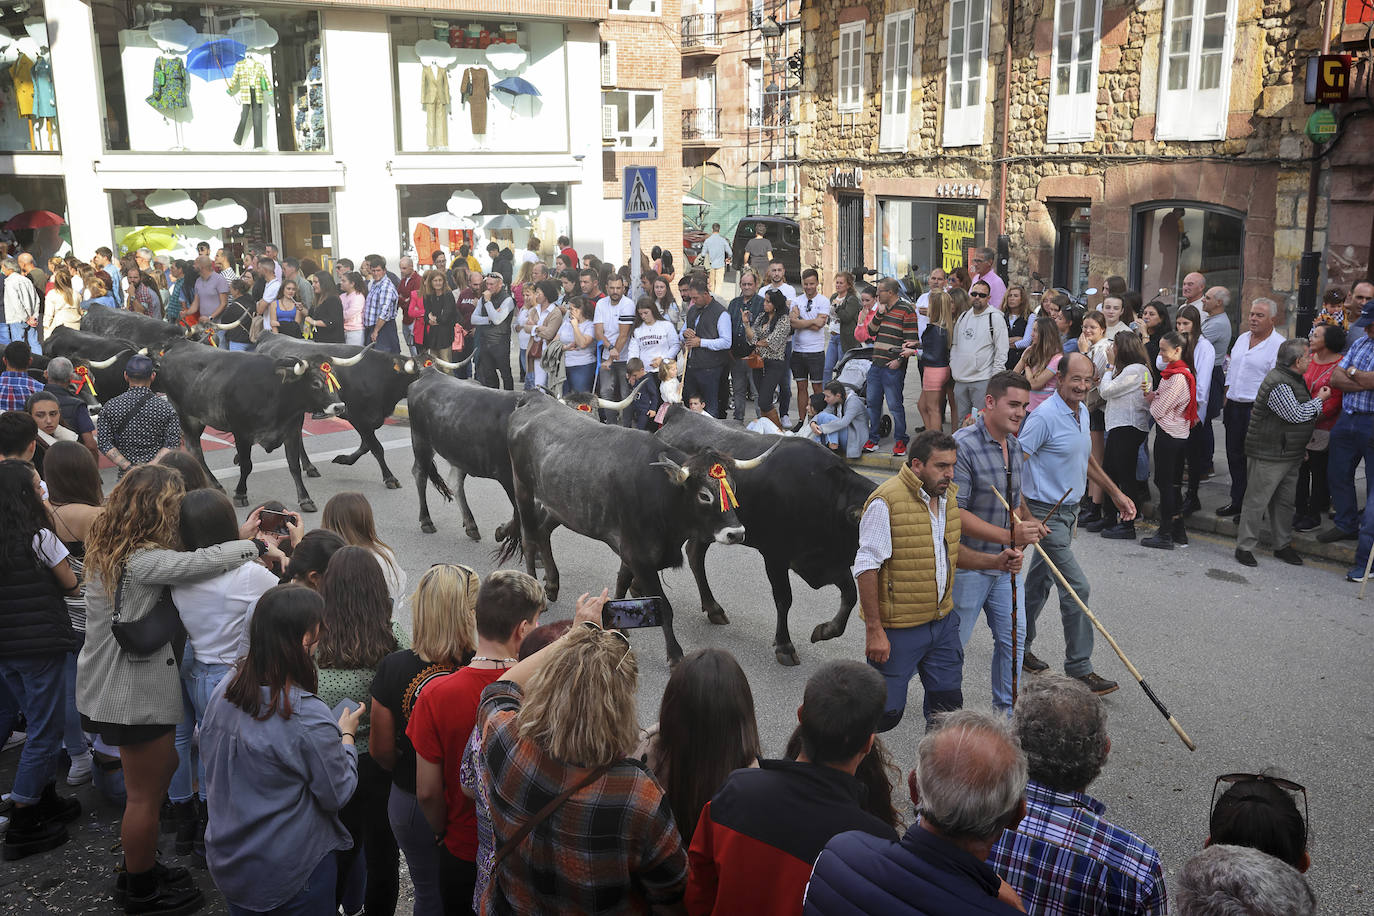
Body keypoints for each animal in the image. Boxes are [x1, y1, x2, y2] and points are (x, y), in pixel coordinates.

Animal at [142, 339, 346, 513]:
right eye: (315, 383)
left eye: (335, 379)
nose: (339, 406)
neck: (276, 393)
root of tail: (179, 343)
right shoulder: (241, 433)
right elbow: (247, 465)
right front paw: (240, 494)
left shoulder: (291, 432)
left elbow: (294, 465)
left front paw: (305, 499)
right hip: (187, 416)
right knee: (196, 450)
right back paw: (215, 484)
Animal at [251, 335, 423, 486]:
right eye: (420, 374)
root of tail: (268, 335)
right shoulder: (357, 418)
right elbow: (376, 447)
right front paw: (390, 478)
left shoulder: (369, 421)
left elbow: (366, 445)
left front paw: (344, 459)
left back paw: (309, 467)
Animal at [651, 403, 868, 661]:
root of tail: (678, 412)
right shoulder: (775, 555)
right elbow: (784, 598)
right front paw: (784, 645)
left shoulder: (829, 563)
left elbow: (851, 595)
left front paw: (825, 630)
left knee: (695, 554)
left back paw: (713, 608)